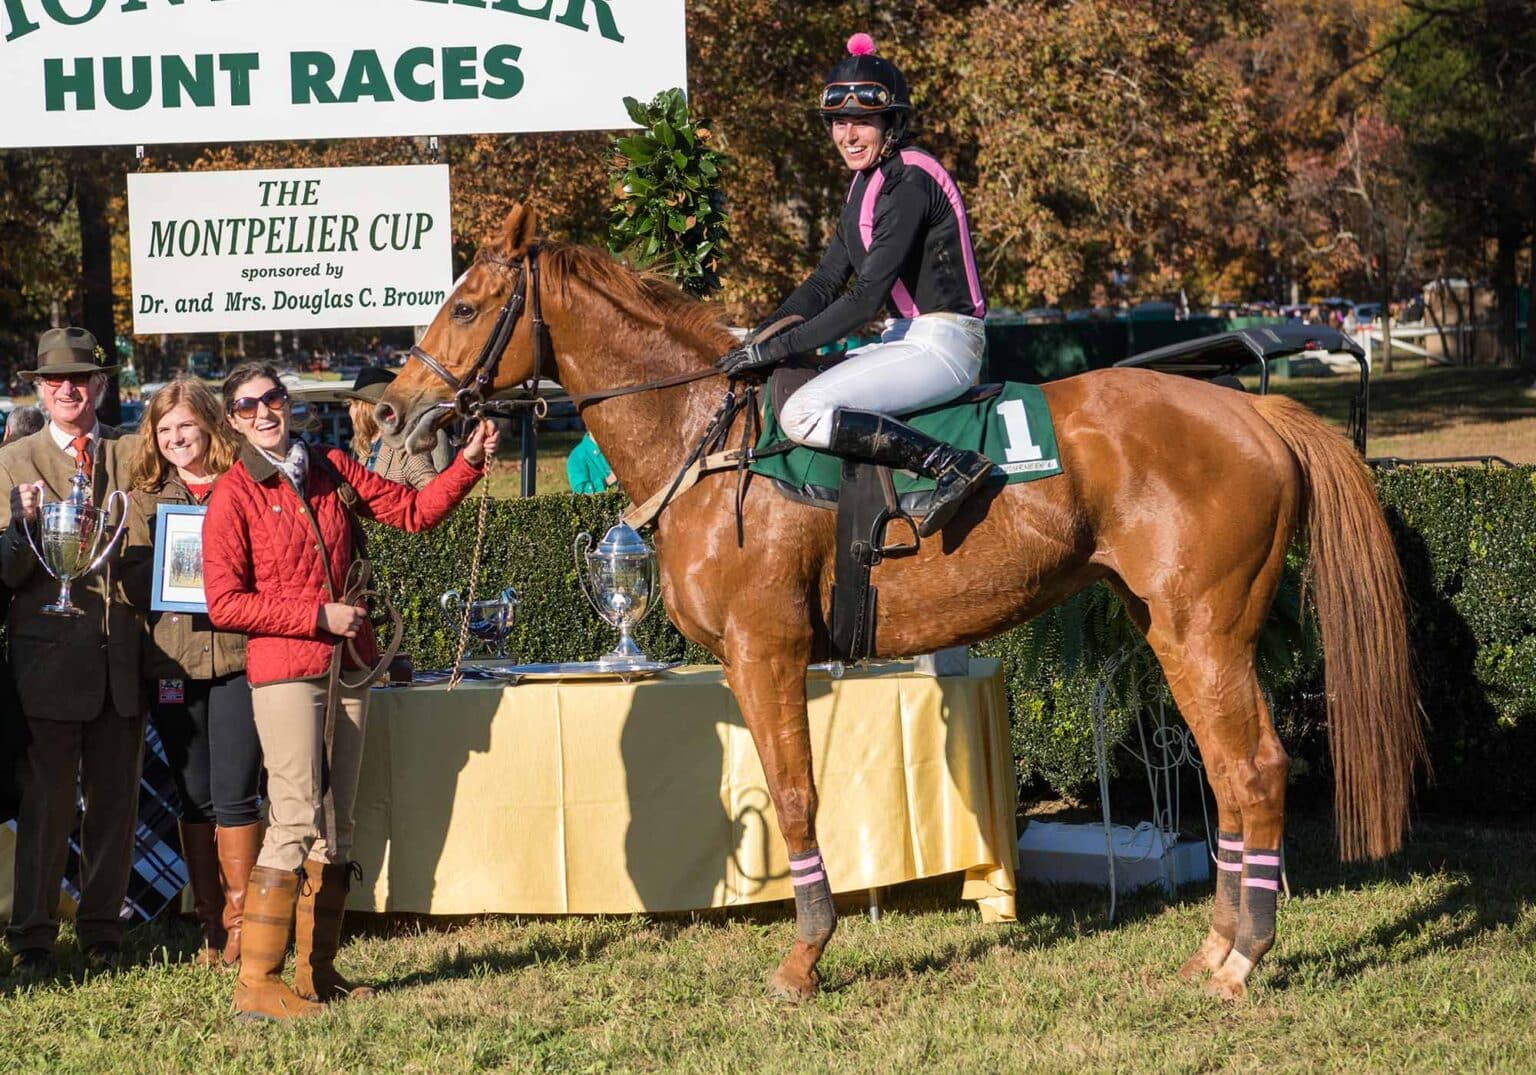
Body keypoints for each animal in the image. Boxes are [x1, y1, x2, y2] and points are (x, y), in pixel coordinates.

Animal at [374, 205, 1425, 1001]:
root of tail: (1253, 408)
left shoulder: (765, 649)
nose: (388, 410)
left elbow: (794, 795)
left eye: (467, 305)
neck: (709, 436)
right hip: (1170, 628)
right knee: (1227, 769)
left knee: (1254, 767)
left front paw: (805, 956)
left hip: (1206, 629)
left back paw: (1242, 958)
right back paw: (1216, 945)